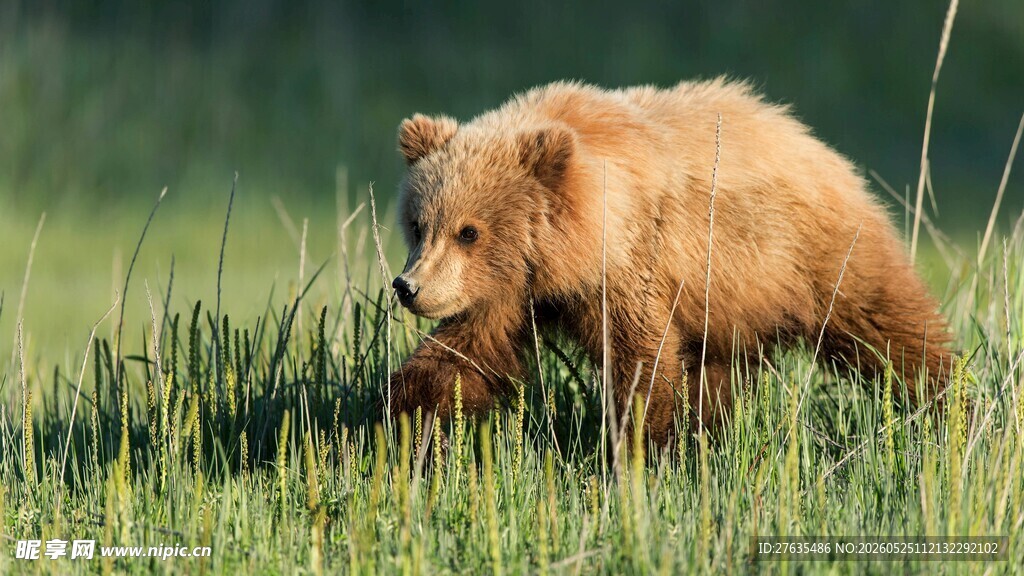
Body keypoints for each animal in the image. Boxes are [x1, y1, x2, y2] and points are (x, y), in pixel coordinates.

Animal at [387, 78, 950, 446]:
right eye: (418, 224)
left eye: (469, 231)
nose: (408, 286)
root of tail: (823, 148)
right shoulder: (508, 290)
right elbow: (461, 356)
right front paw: (409, 426)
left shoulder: (631, 266)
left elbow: (642, 361)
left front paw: (640, 446)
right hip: (729, 307)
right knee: (718, 374)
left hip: (816, 256)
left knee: (889, 329)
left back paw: (945, 400)